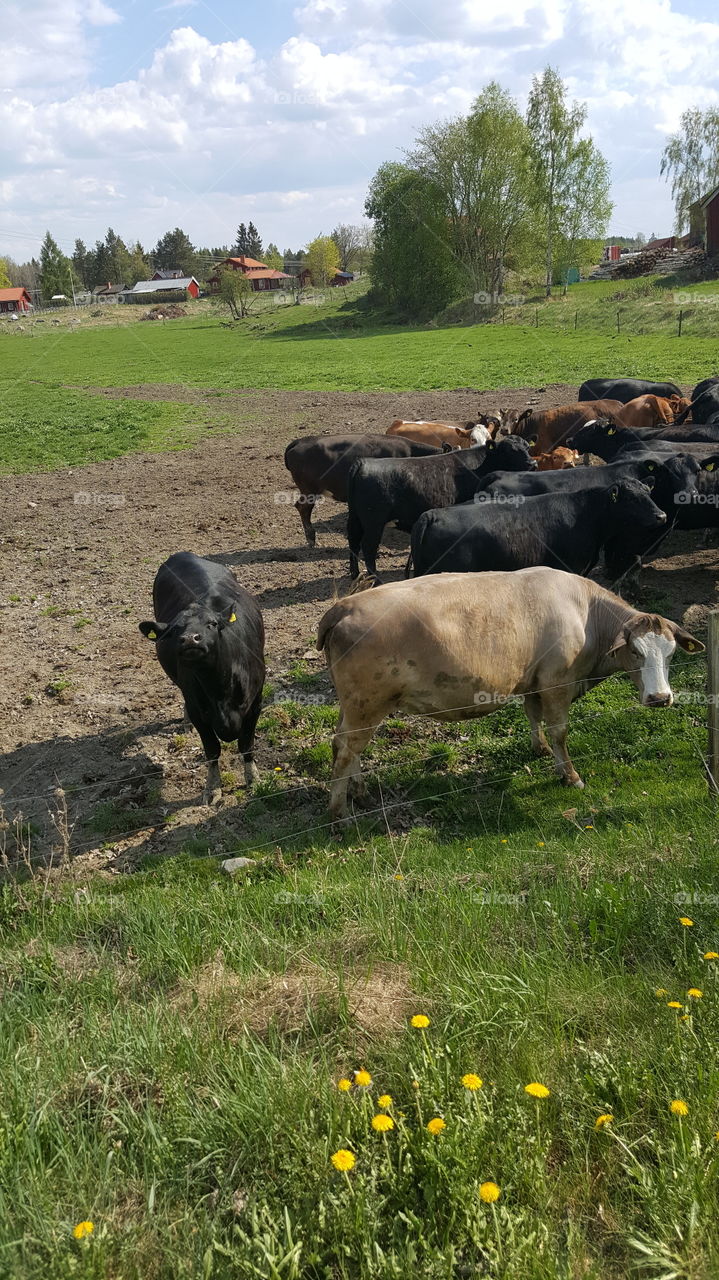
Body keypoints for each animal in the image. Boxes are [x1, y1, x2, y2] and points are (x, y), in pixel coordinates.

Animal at [139, 552, 265, 805]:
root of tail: (182, 554)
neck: (219, 687)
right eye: (174, 630)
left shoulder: (256, 701)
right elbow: (212, 749)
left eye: (212, 624)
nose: (190, 639)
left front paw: (253, 779)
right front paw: (212, 788)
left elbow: (246, 744)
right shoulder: (198, 710)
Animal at [317, 568, 703, 818]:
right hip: (367, 703)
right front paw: (570, 775)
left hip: (354, 705)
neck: (586, 613)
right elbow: (560, 731)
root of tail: (344, 605)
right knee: (347, 749)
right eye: (636, 652)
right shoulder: (557, 682)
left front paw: (539, 749)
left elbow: (533, 715)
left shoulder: (534, 681)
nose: (660, 698)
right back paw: (339, 812)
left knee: (344, 744)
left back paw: (360, 793)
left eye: (671, 653)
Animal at [346, 436, 535, 580]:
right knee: (368, 548)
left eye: (527, 447)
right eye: (509, 450)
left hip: (355, 518)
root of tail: (363, 463)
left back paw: (355, 574)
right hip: (374, 523)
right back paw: (375, 580)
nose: (532, 463)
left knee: (353, 542)